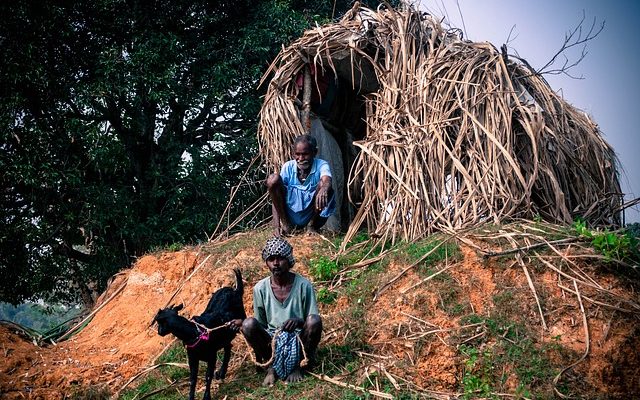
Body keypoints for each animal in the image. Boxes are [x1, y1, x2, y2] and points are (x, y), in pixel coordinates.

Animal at [152, 268, 245, 400]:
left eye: (159, 322)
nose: (159, 332)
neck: (194, 332)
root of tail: (235, 290)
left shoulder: (211, 356)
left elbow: (208, 376)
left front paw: (207, 396)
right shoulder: (192, 358)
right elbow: (193, 379)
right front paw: (191, 397)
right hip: (224, 336)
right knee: (228, 347)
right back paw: (222, 373)